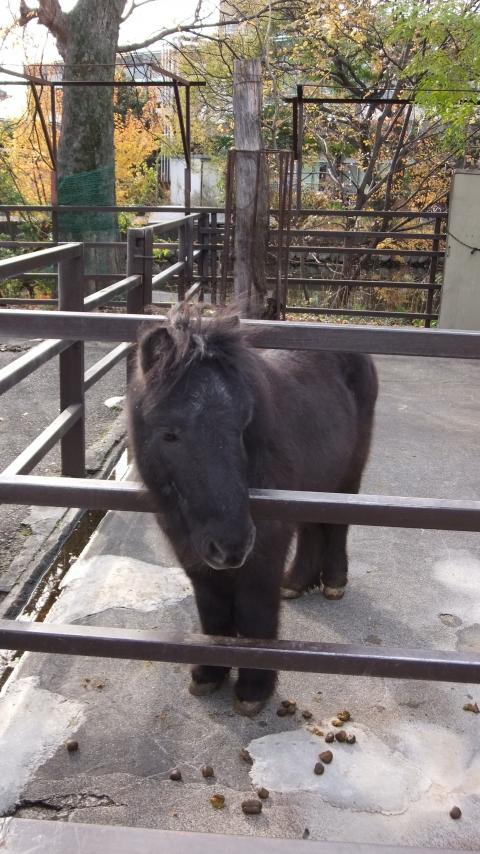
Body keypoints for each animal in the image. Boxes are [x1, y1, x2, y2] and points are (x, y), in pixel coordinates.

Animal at [128, 308, 378, 716]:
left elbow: (255, 613)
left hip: (347, 475)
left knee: (336, 525)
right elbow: (213, 613)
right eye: (169, 433)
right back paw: (296, 582)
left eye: (241, 425)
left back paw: (334, 582)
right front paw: (209, 674)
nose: (231, 544)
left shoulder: (262, 554)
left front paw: (254, 690)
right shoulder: (195, 559)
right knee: (312, 529)